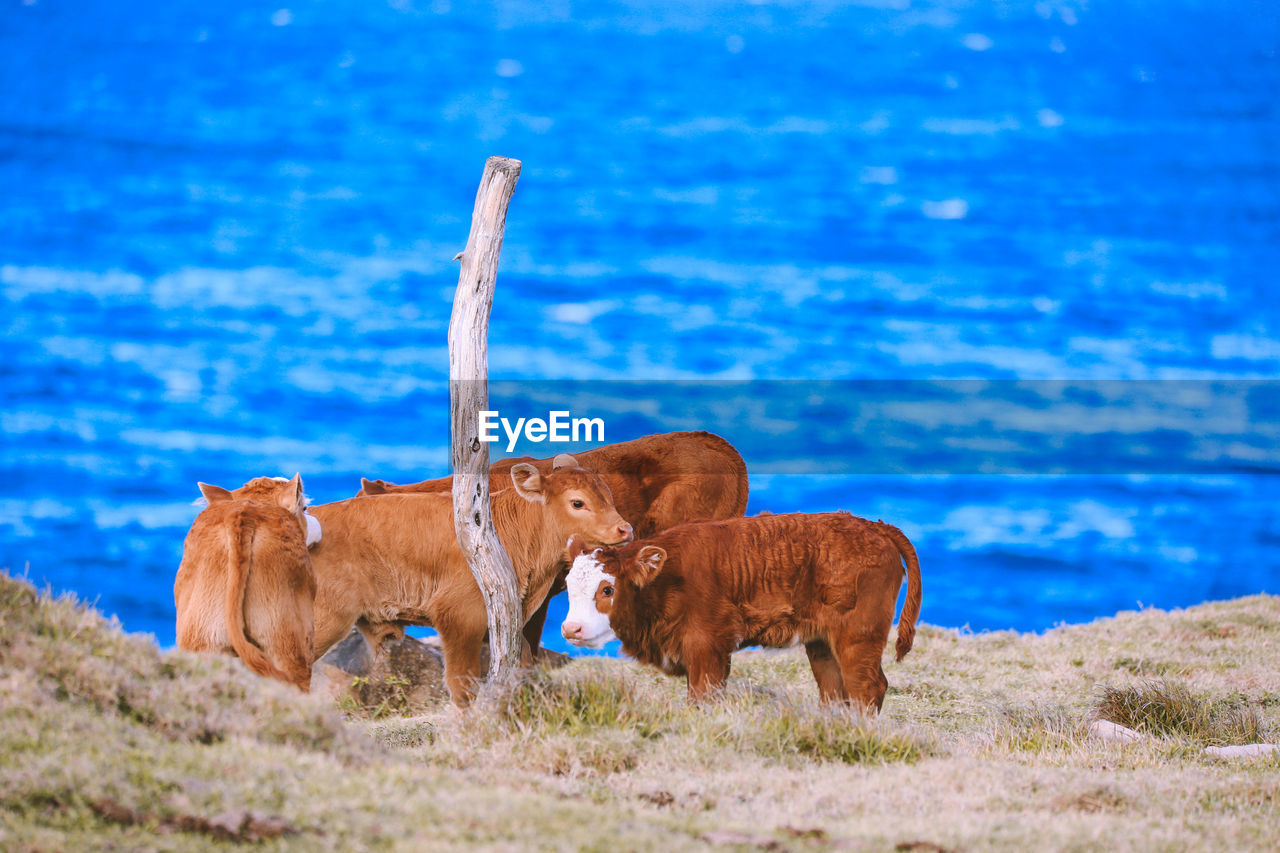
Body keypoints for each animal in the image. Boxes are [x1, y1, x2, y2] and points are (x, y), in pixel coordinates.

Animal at [305, 455, 634, 701]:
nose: (625, 529)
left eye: (607, 494)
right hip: (323, 619)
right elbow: (462, 683)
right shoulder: (460, 618)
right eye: (578, 502)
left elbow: (523, 661)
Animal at [560, 512, 921, 712]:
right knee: (834, 688)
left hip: (858, 636)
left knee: (867, 686)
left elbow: (703, 696)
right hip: (822, 642)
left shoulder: (707, 645)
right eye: (567, 585)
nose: (570, 628)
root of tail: (873, 526)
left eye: (607, 589)